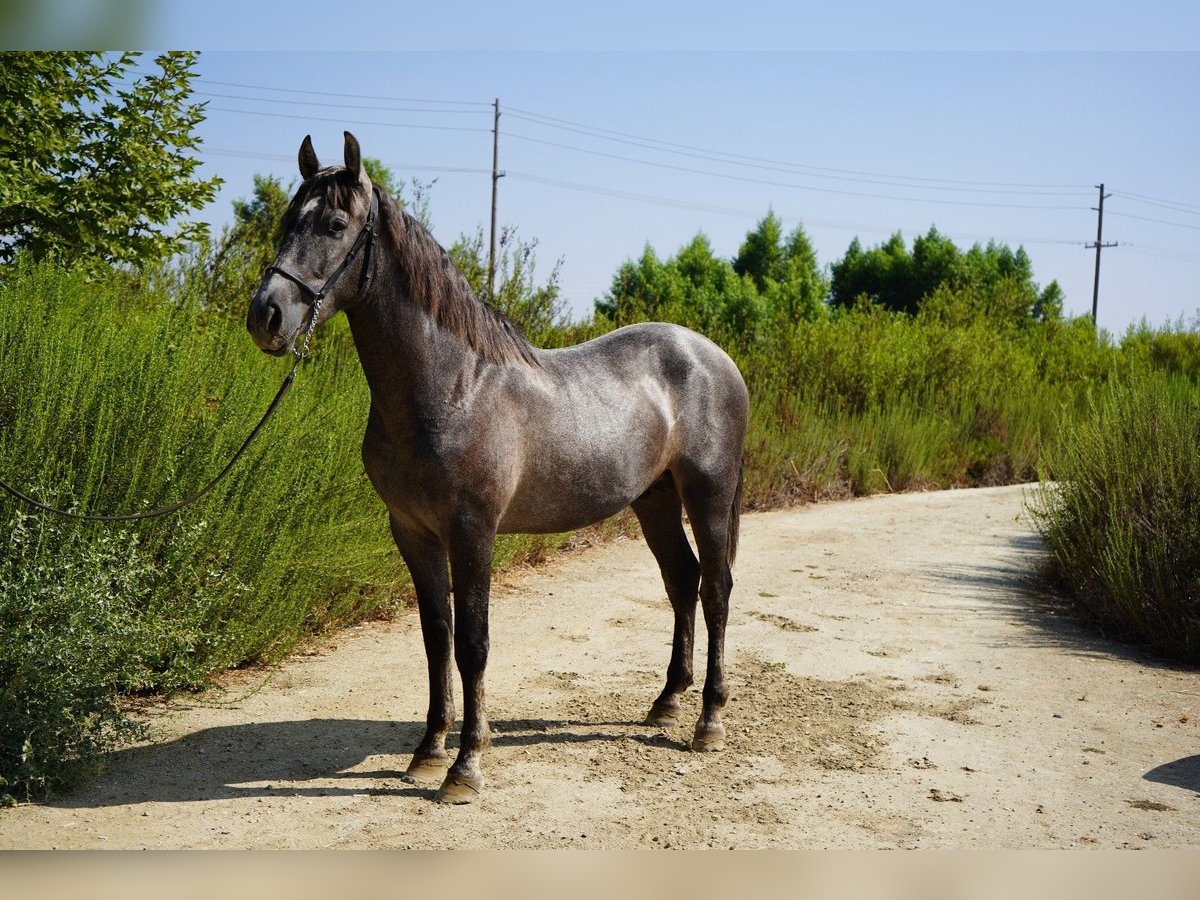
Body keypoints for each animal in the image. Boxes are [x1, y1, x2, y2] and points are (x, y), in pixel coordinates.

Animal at [246, 132, 749, 804]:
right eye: (285, 222)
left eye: (334, 223)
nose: (266, 316)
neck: (452, 384)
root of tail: (713, 356)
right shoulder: (412, 532)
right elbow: (436, 637)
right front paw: (429, 751)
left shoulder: (472, 531)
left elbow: (473, 643)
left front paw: (465, 767)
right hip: (656, 499)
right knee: (682, 580)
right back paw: (667, 702)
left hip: (708, 495)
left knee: (716, 588)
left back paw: (708, 722)